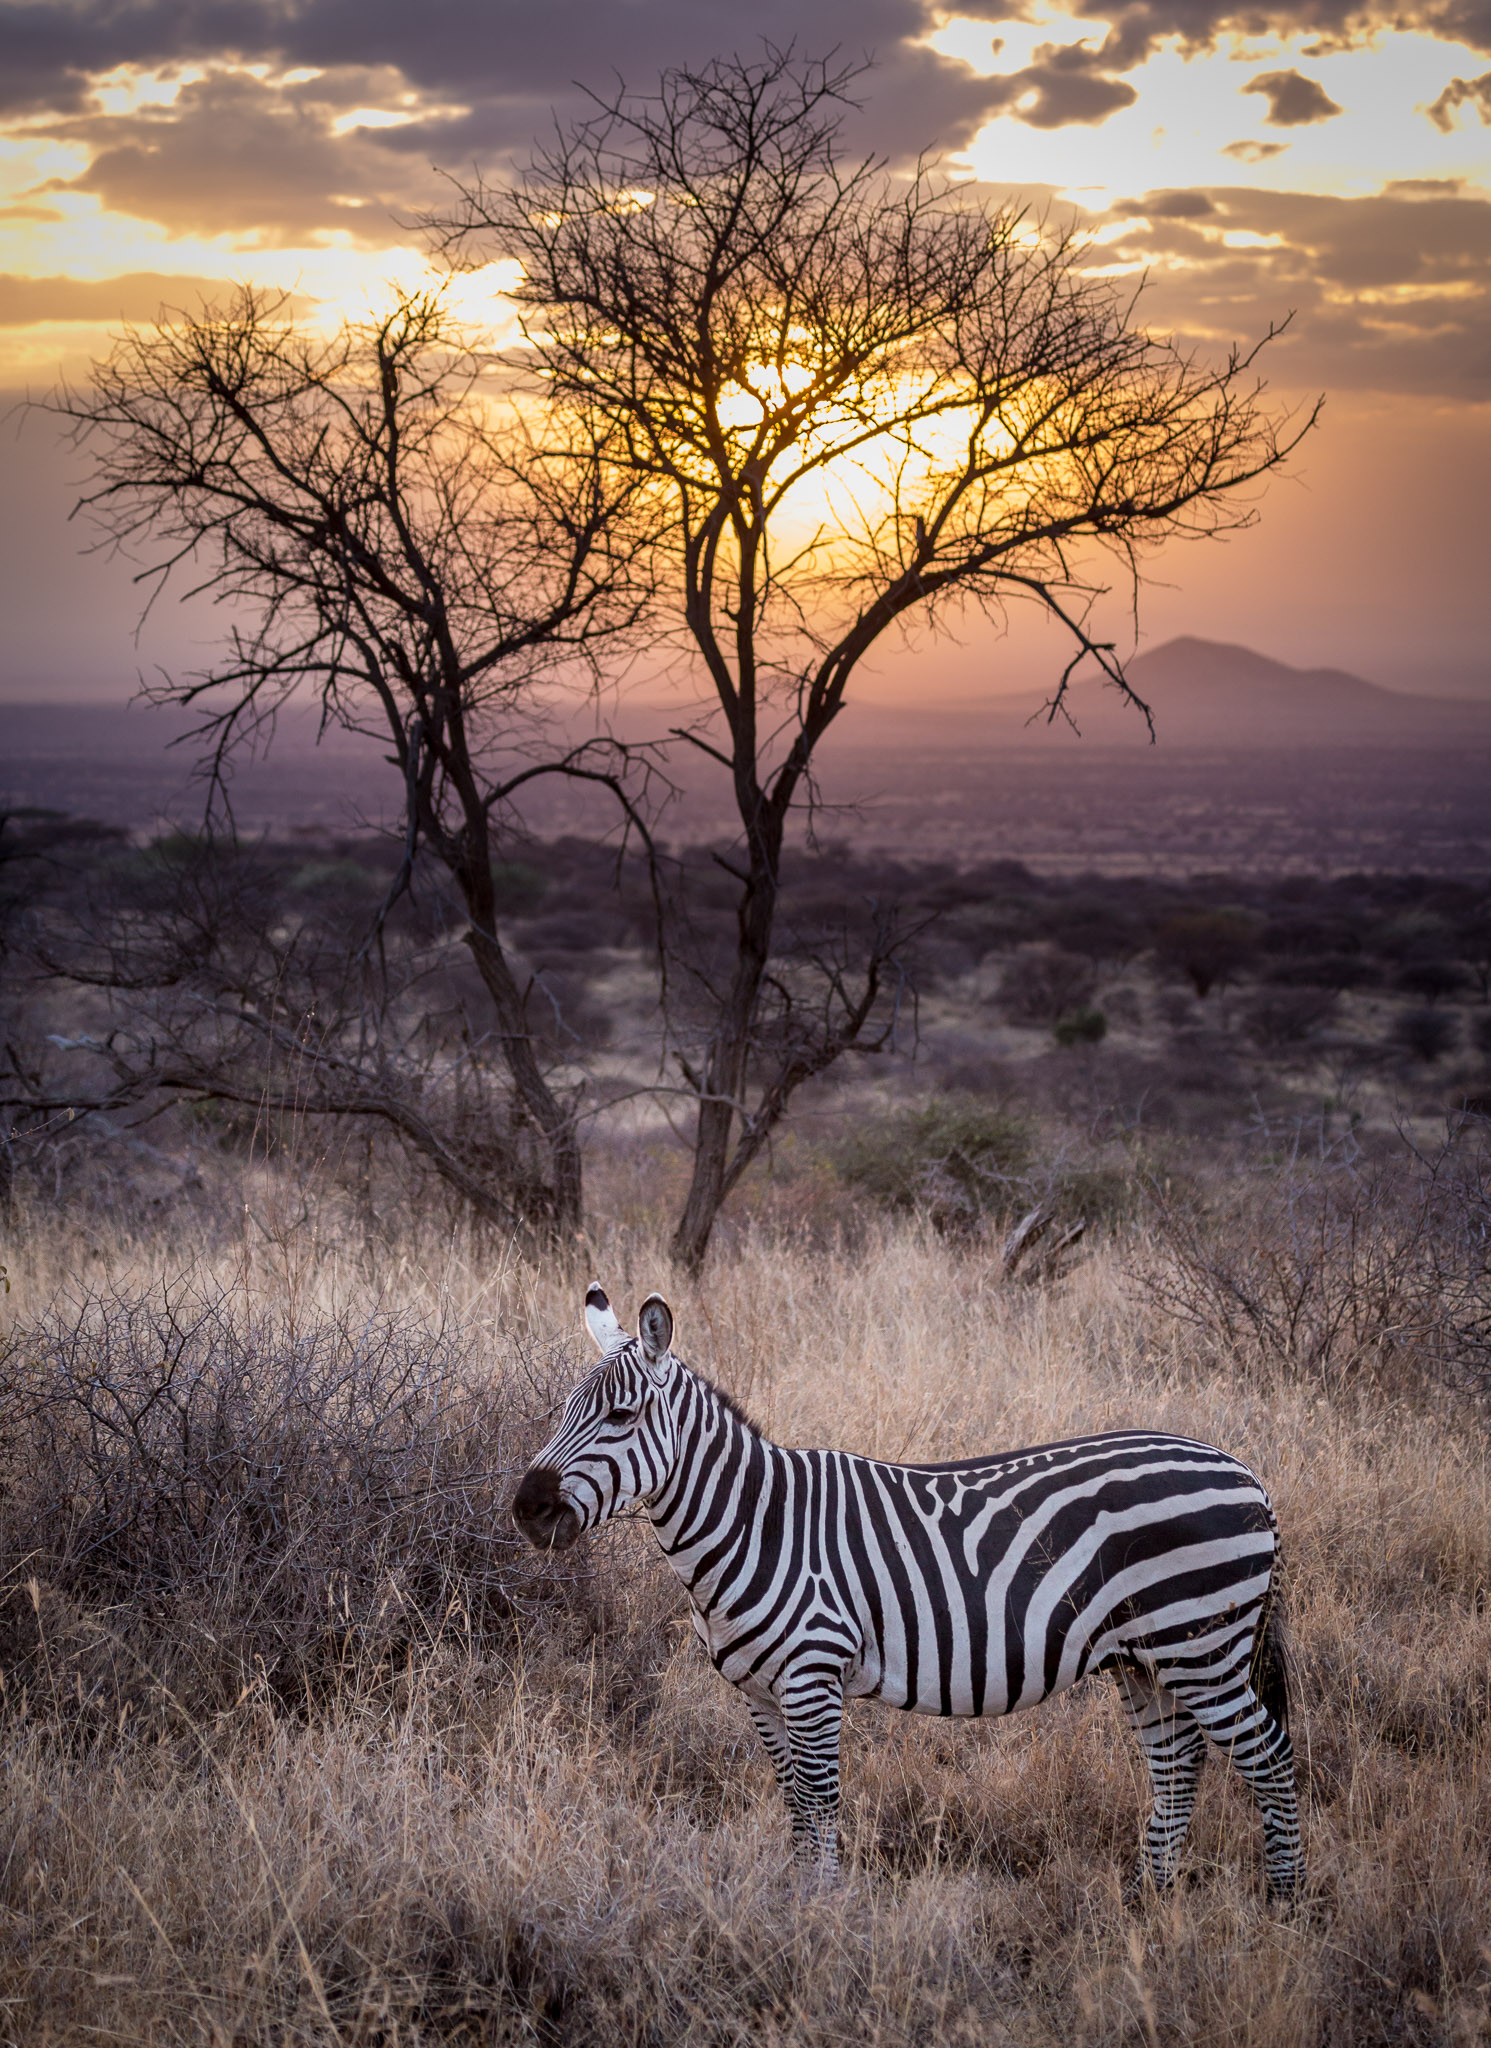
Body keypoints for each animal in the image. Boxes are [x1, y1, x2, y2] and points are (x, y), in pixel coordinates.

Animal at [516, 1286, 1302, 1892]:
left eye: (621, 1417)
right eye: (565, 1410)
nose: (526, 1509)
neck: (754, 1525)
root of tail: (1247, 1475)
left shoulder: (812, 1674)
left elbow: (819, 1798)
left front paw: (822, 1915)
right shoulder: (758, 1691)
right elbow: (792, 1801)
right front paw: (796, 1904)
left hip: (1200, 1646)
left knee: (1267, 1757)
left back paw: (1284, 1905)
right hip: (1146, 1659)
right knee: (1177, 1766)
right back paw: (1147, 1902)